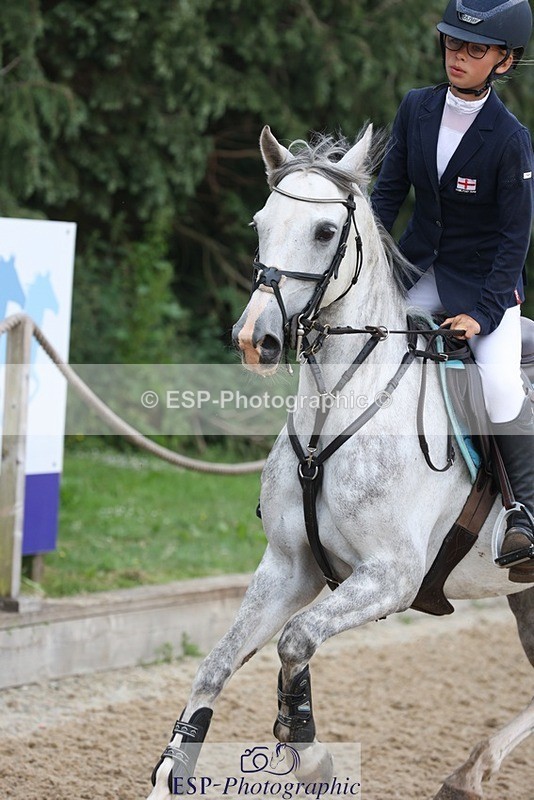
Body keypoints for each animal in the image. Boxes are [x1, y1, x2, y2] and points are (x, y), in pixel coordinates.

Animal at [148, 126, 534, 800]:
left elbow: (295, 639)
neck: (336, 409)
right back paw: (469, 772)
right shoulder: (289, 567)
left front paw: (308, 752)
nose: (254, 339)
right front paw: (173, 770)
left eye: (326, 232)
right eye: (260, 224)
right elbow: (220, 662)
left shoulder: (391, 576)